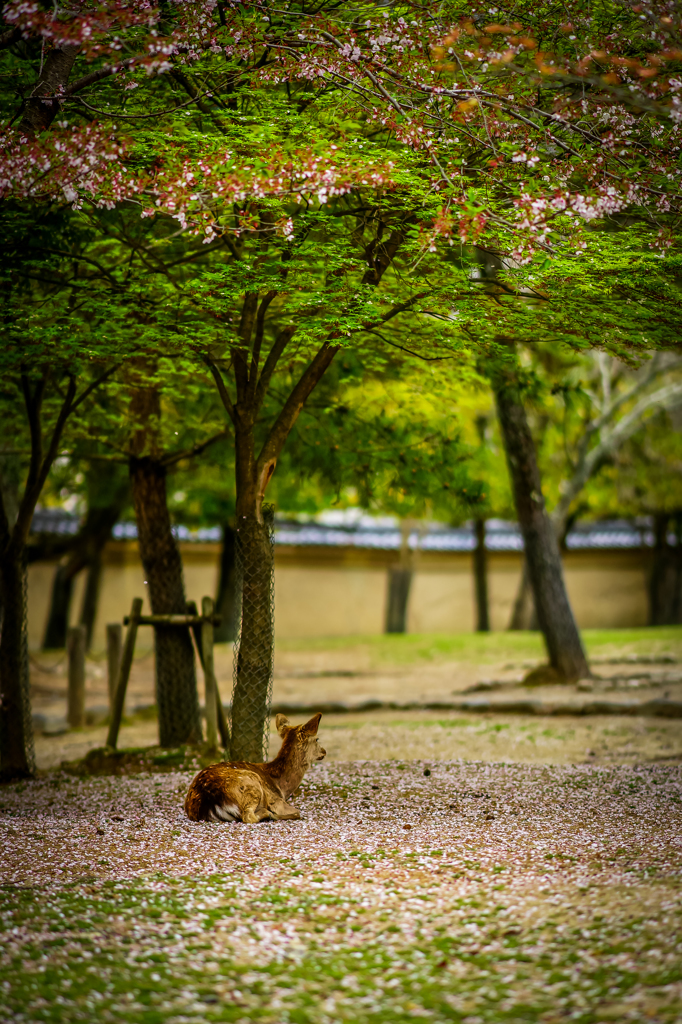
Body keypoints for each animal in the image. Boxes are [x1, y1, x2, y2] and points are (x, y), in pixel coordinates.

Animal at [184, 712, 325, 823]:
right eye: (317, 739)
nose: (324, 751)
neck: (281, 787)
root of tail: (207, 802)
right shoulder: (277, 801)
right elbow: (297, 811)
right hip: (252, 785)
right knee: (249, 817)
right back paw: (268, 814)